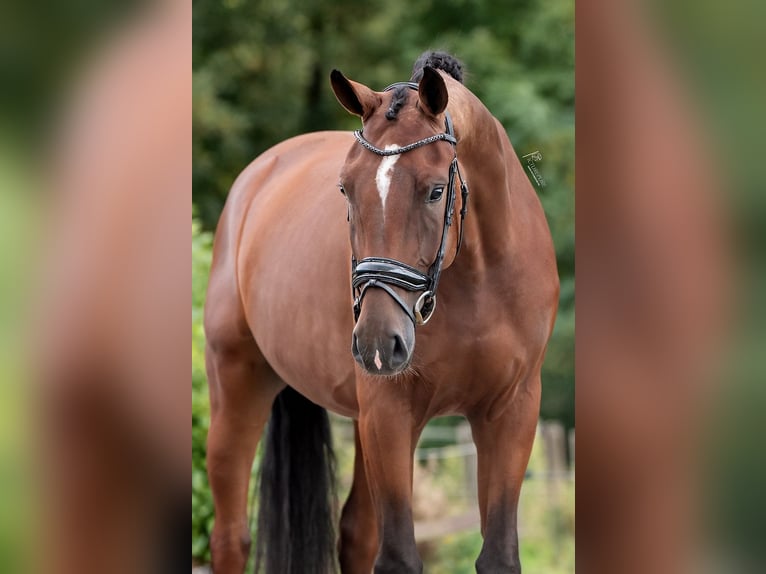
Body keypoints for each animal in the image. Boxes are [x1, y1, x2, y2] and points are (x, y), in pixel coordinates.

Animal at [207, 51, 560, 572]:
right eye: (345, 189)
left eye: (435, 191)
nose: (377, 341)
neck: (479, 279)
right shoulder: (390, 412)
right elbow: (398, 556)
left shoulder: (511, 412)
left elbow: (497, 555)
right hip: (238, 389)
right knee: (231, 537)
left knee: (355, 533)